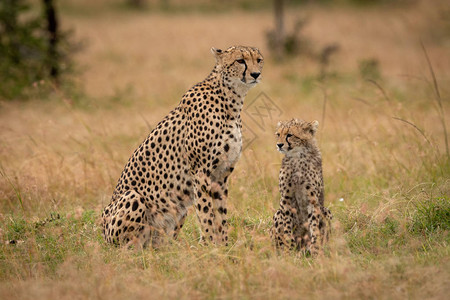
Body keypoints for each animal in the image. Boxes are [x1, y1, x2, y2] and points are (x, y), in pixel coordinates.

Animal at [102, 45, 264, 247]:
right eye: (240, 60)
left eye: (259, 60)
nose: (256, 74)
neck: (231, 100)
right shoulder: (201, 172)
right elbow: (206, 214)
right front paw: (209, 246)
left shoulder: (222, 174)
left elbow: (221, 214)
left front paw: (224, 246)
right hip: (133, 198)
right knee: (127, 246)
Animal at [270, 118, 330, 254]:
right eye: (278, 134)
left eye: (289, 135)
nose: (279, 145)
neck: (298, 156)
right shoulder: (286, 199)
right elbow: (287, 226)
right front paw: (288, 248)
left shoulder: (313, 199)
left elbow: (314, 225)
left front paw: (315, 247)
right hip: (278, 213)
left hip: (326, 211)